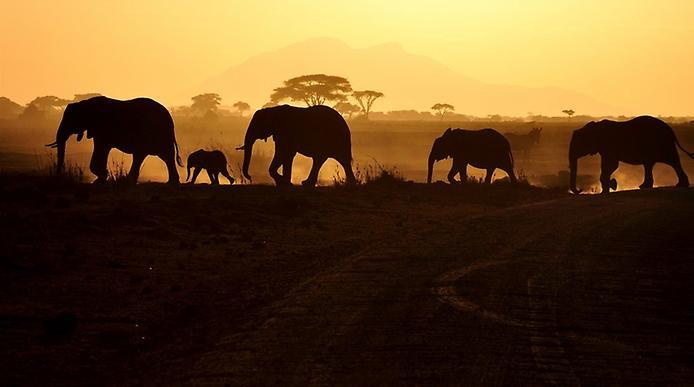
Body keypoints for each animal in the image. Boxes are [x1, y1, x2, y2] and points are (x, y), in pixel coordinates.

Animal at [46, 95, 182, 183]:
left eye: (70, 120)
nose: (58, 177)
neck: (84, 103)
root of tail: (170, 119)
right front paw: (101, 178)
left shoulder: (103, 128)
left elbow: (102, 148)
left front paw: (102, 177)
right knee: (162, 156)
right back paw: (171, 182)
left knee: (149, 155)